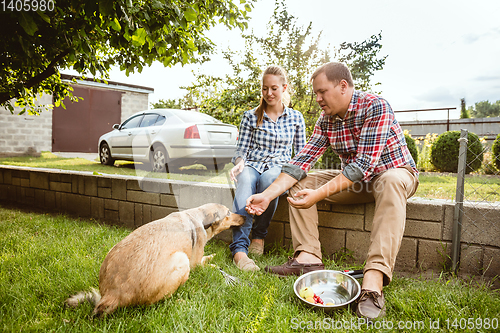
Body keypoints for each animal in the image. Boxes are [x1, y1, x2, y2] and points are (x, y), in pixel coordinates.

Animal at [65, 202, 245, 314]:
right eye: (228, 213)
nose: (245, 217)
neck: (199, 218)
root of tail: (112, 294)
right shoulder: (195, 263)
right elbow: (207, 261)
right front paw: (214, 260)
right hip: (182, 261)